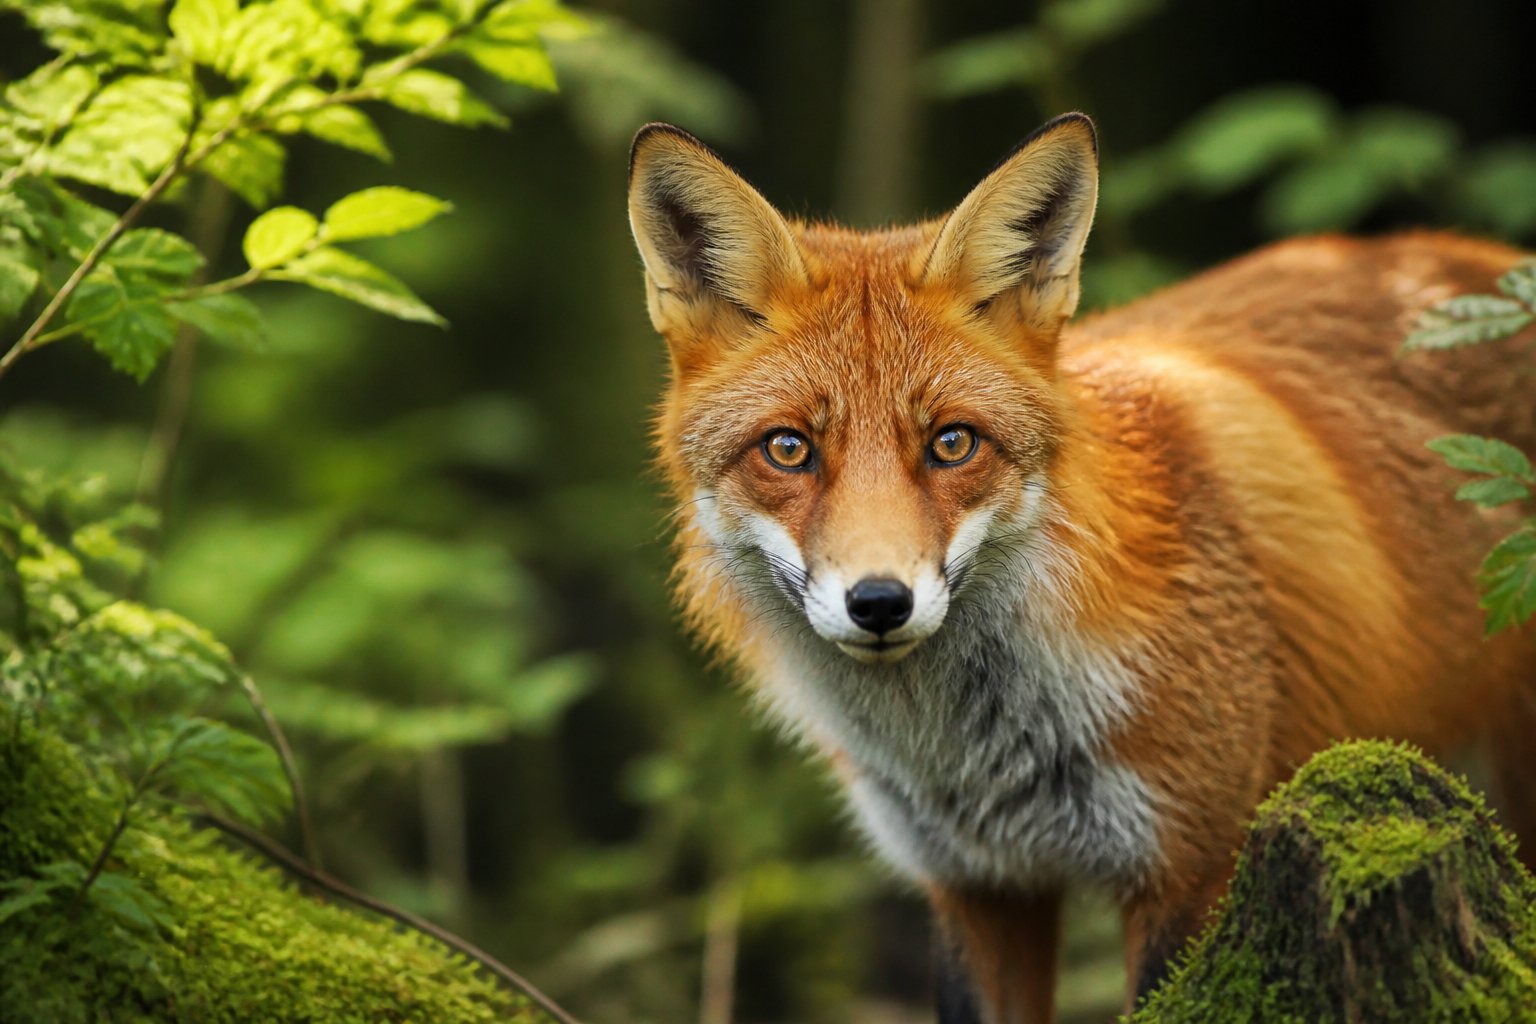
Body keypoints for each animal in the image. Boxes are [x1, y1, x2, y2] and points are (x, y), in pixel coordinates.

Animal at [625, 112, 1536, 1023]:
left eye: (952, 443)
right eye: (789, 449)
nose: (879, 602)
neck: (977, 756)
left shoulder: (1188, 866)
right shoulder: (977, 886)